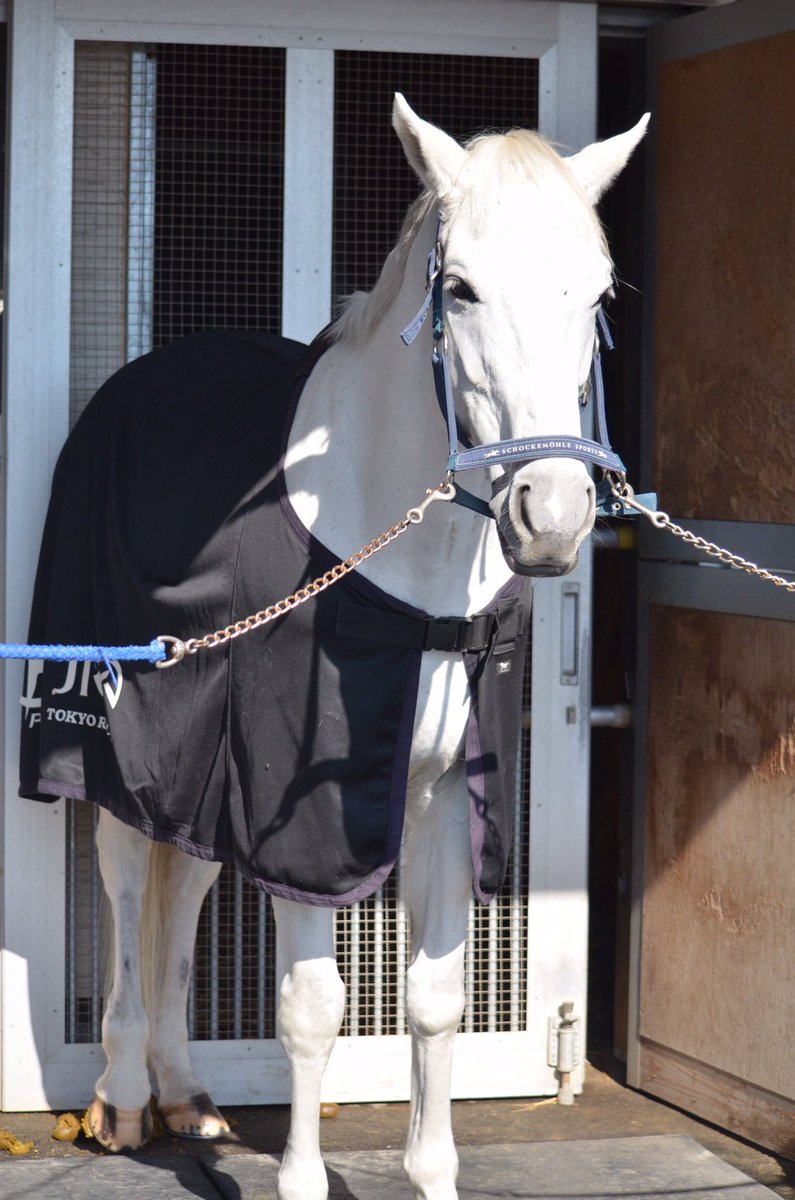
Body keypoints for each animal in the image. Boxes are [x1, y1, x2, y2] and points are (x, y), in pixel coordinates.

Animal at [20, 95, 647, 1200]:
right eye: (462, 288)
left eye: (598, 294)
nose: (552, 514)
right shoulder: (302, 822)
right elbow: (312, 1010)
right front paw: (303, 1179)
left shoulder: (438, 796)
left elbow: (434, 1001)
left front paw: (432, 1175)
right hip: (114, 746)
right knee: (130, 878)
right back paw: (126, 1099)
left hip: (203, 771)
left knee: (187, 883)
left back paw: (188, 1092)